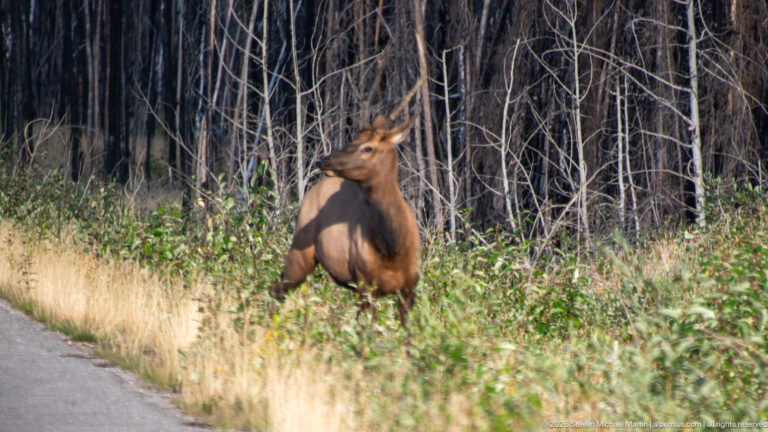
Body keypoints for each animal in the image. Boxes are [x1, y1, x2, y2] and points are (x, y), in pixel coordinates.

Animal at [271, 82, 423, 325]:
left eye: (368, 147)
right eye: (353, 140)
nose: (325, 160)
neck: (392, 248)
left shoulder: (409, 289)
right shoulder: (365, 284)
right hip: (299, 253)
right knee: (275, 290)